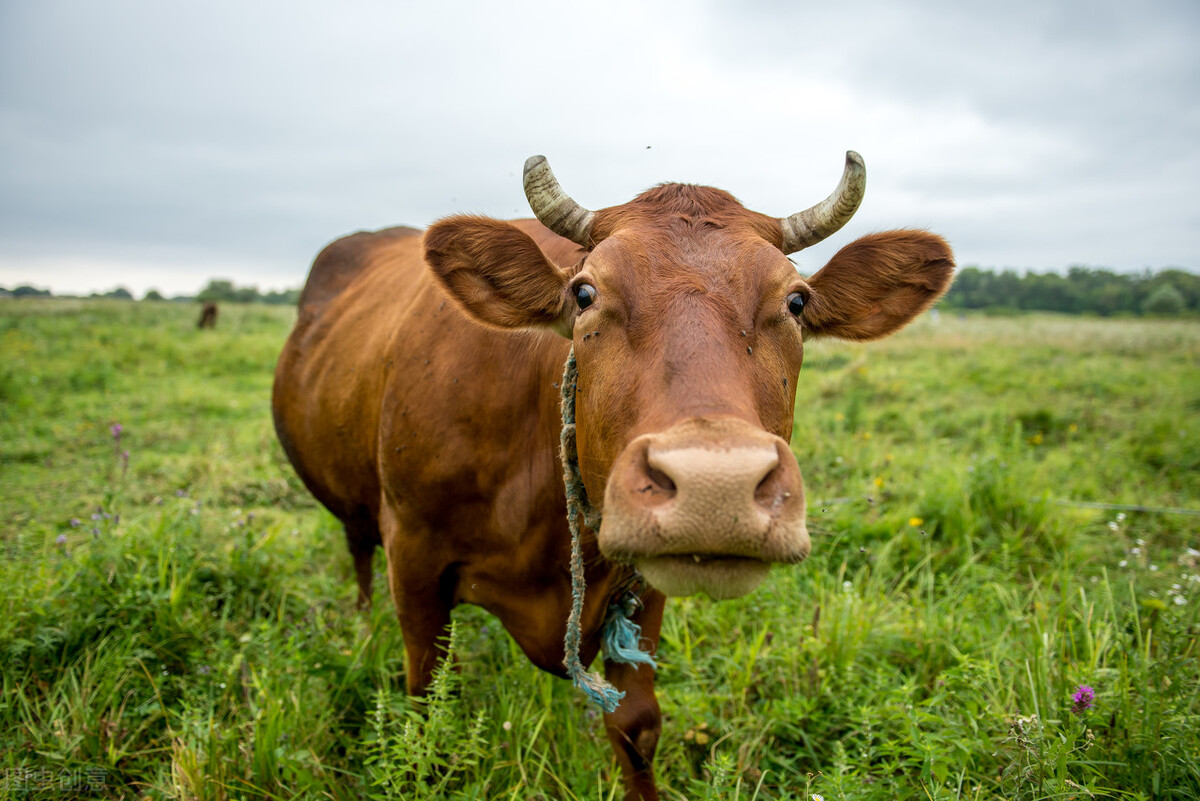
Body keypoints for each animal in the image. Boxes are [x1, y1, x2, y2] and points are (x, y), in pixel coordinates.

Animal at [274, 153, 955, 796]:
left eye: (796, 301)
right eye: (584, 294)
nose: (717, 487)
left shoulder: (643, 583)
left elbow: (636, 724)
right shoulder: (414, 558)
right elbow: (428, 708)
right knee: (358, 552)